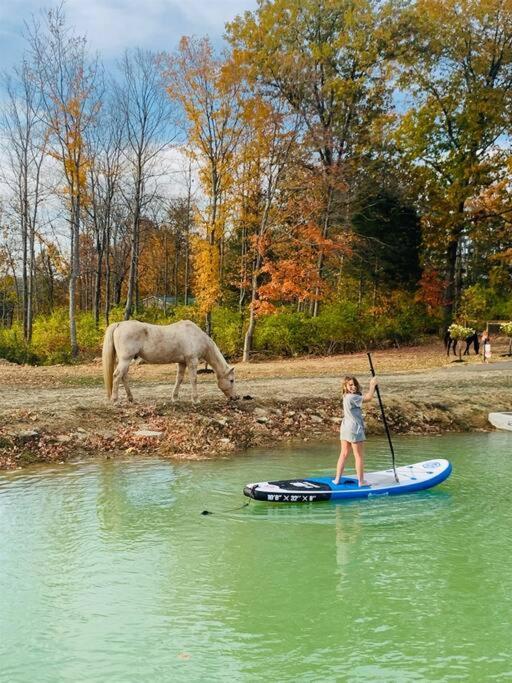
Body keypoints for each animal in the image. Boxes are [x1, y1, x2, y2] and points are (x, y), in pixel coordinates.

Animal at [104, 320, 240, 404]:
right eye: (231, 380)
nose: (235, 397)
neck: (196, 336)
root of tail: (119, 324)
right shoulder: (192, 361)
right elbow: (194, 379)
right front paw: (196, 400)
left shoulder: (182, 363)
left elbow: (179, 379)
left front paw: (175, 398)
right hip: (125, 359)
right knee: (117, 376)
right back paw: (115, 400)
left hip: (125, 360)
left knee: (124, 377)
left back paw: (131, 399)